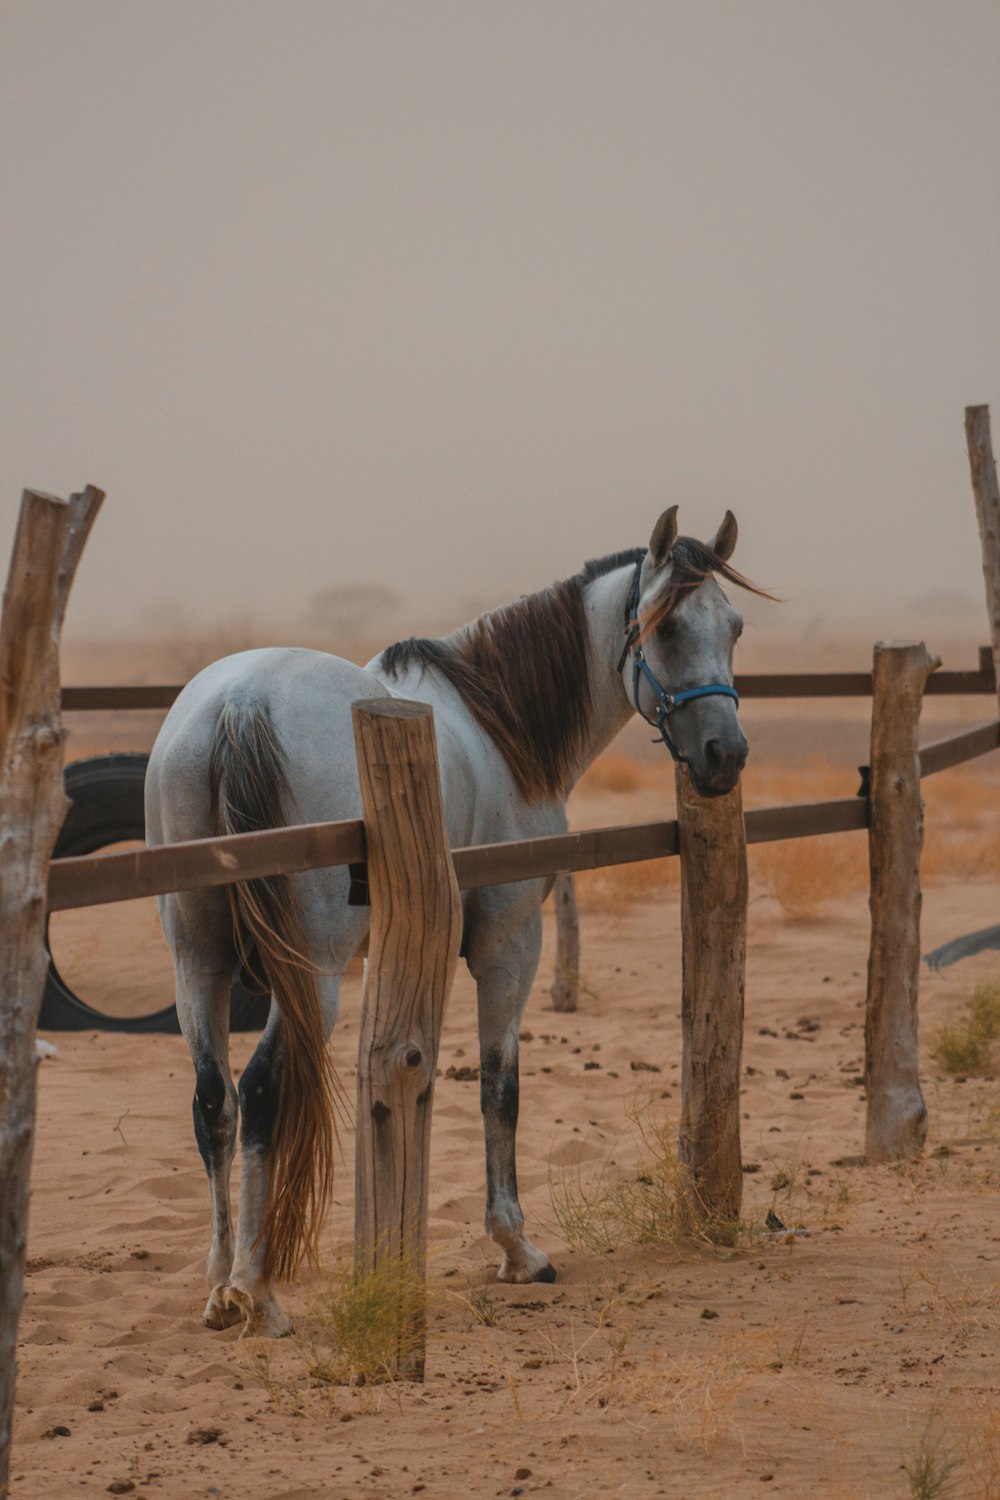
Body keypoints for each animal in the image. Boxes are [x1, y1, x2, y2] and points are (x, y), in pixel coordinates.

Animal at [146, 507, 758, 1338]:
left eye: (733, 626)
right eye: (663, 629)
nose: (725, 754)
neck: (498, 728)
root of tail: (237, 704)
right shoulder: (508, 946)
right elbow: (502, 1090)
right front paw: (517, 1249)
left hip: (198, 963)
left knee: (214, 1104)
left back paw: (218, 1287)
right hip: (312, 975)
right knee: (263, 1091)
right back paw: (257, 1289)